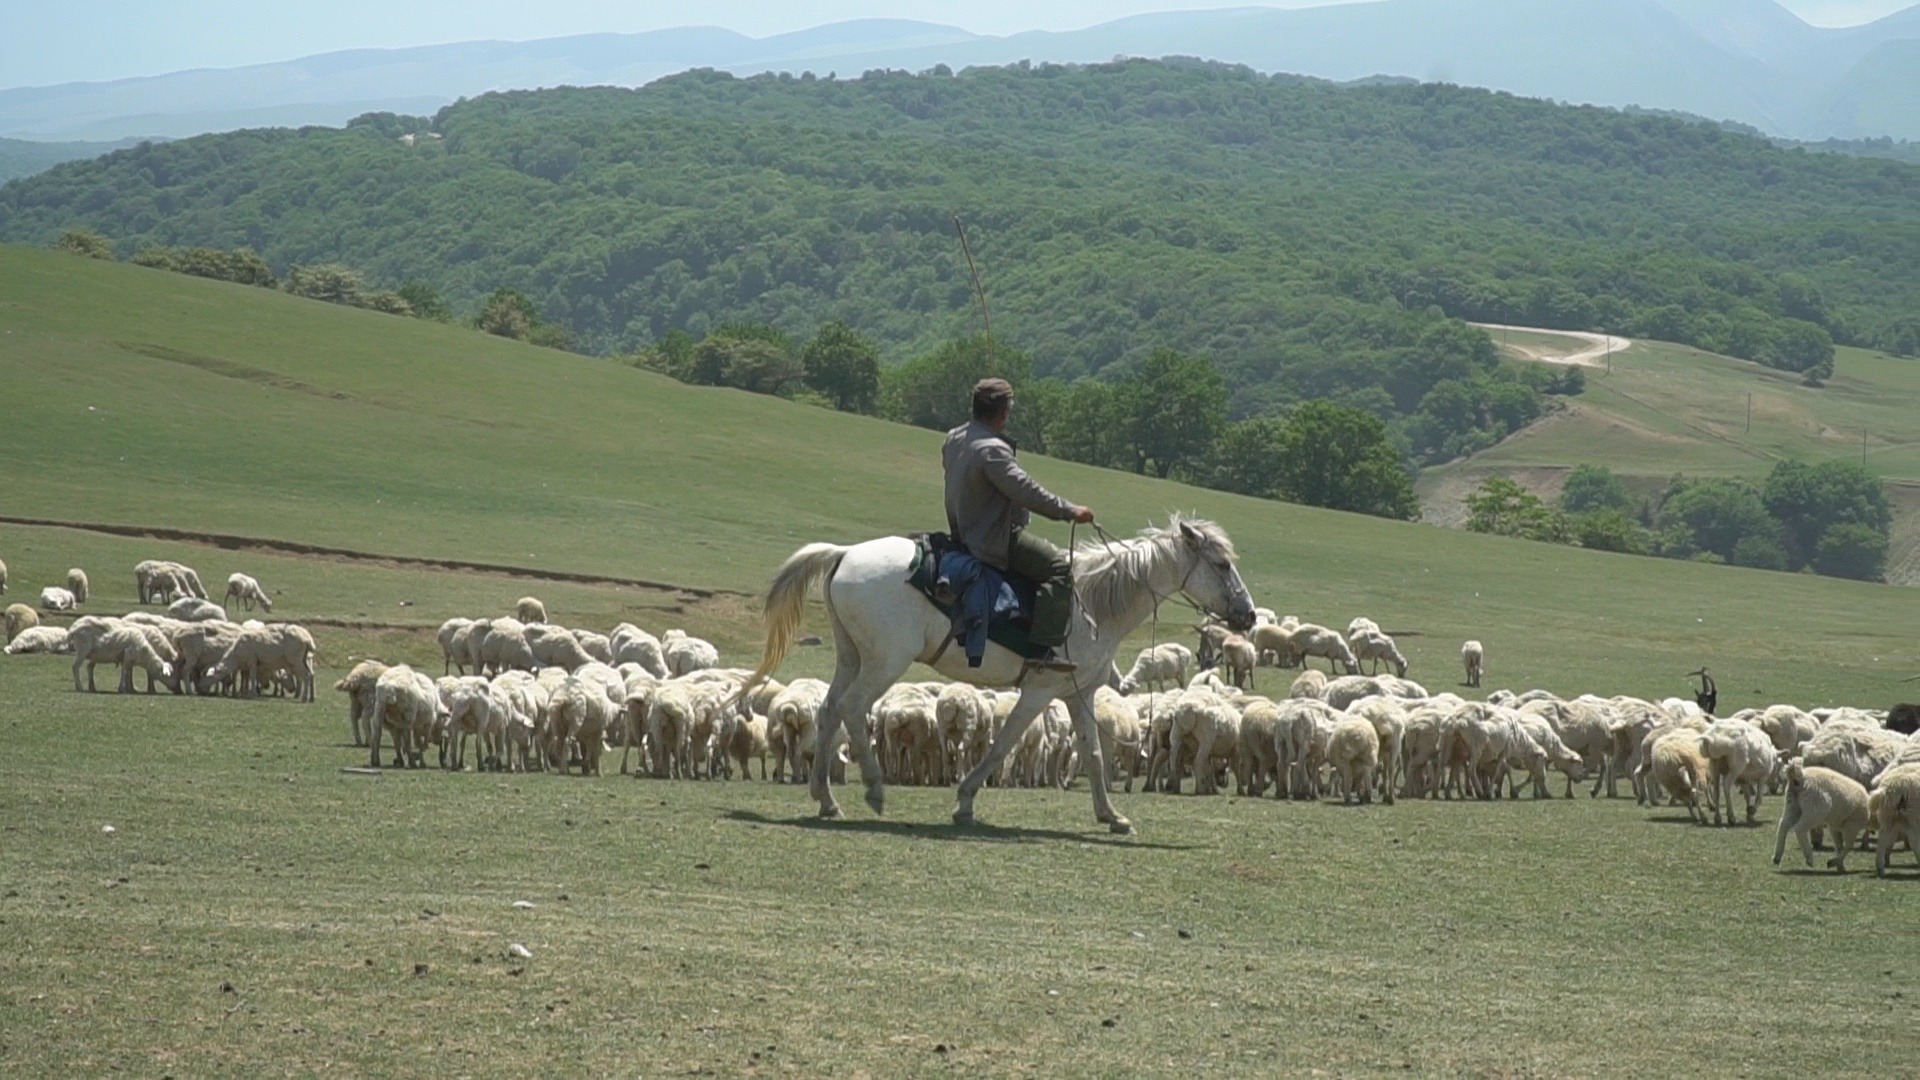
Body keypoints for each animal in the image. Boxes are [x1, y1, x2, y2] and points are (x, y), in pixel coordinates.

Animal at [737, 511, 1259, 834]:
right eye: (1220, 563)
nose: (1248, 614)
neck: (1093, 604)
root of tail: (845, 553)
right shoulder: (1040, 691)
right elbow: (1004, 743)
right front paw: (965, 801)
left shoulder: (1078, 693)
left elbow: (1093, 754)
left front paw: (1111, 816)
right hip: (884, 663)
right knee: (850, 708)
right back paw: (874, 790)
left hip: (852, 657)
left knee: (828, 711)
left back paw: (825, 799)